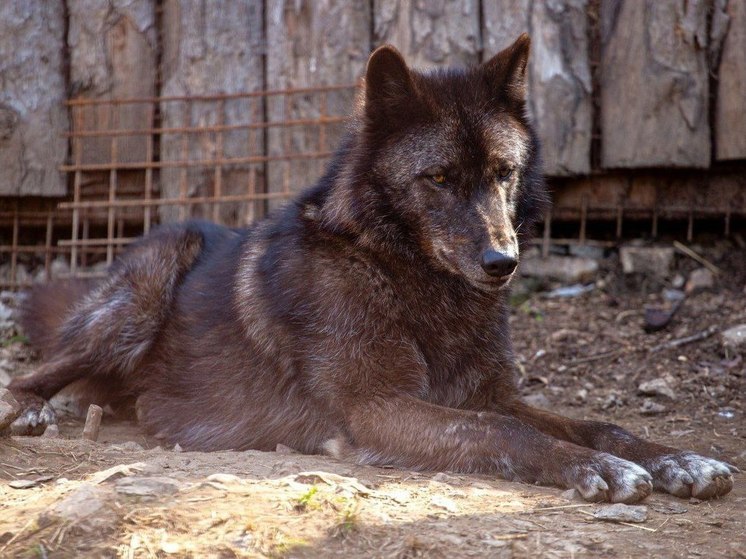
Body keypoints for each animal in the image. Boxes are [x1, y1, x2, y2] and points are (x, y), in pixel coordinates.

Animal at [10, 37, 732, 506]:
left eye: (504, 172)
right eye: (438, 178)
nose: (503, 263)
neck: (410, 284)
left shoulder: (486, 393)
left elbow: (591, 422)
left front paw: (677, 459)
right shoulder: (377, 408)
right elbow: (503, 432)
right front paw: (598, 469)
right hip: (141, 298)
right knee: (31, 372)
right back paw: (27, 411)